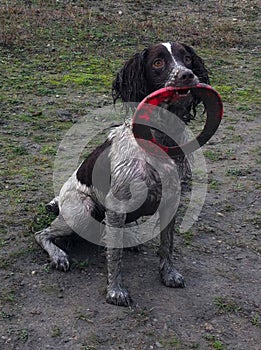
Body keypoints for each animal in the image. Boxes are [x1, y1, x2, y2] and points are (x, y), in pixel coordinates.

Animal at [34, 41, 209, 306]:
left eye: (187, 58)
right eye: (158, 62)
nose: (187, 75)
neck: (160, 140)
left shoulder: (172, 201)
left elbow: (166, 245)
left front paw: (169, 274)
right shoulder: (117, 207)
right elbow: (114, 257)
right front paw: (115, 291)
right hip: (82, 212)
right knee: (42, 233)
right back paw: (59, 256)